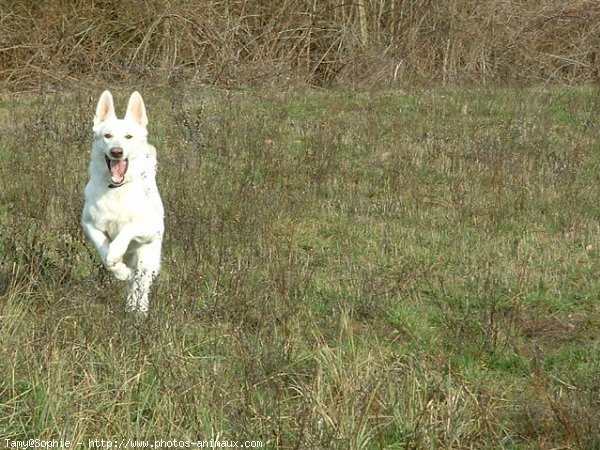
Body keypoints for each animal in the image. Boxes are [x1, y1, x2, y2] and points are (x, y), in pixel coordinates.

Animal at [81, 91, 164, 314]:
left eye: (128, 137)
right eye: (107, 136)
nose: (116, 151)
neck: (116, 189)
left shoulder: (148, 227)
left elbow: (127, 229)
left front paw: (116, 251)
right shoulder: (89, 224)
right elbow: (103, 249)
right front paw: (118, 269)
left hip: (148, 257)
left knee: (141, 286)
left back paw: (138, 312)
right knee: (133, 282)